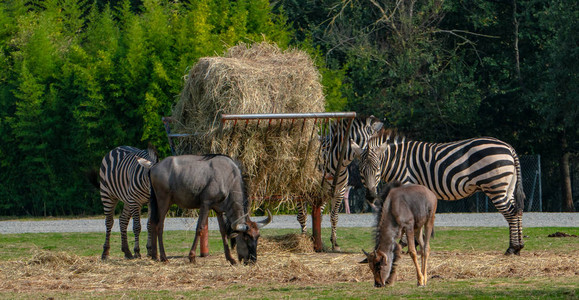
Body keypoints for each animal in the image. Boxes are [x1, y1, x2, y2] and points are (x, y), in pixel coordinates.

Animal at [138, 155, 272, 264]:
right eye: (246, 237)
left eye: (257, 236)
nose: (253, 260)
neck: (228, 178)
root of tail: (153, 167)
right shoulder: (206, 204)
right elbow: (200, 228)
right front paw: (192, 257)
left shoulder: (218, 209)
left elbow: (223, 231)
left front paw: (230, 258)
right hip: (164, 201)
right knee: (159, 226)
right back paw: (164, 257)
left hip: (156, 202)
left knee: (153, 223)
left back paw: (154, 256)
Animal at [296, 116, 382, 251]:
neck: (338, 163)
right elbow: (304, 216)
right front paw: (305, 241)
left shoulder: (339, 192)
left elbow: (334, 216)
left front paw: (334, 243)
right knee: (301, 215)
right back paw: (304, 237)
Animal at [352, 130, 528, 254]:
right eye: (361, 170)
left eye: (377, 169)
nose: (371, 196)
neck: (398, 161)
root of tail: (509, 147)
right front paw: (417, 242)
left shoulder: (407, 183)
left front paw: (406, 243)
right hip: (507, 187)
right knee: (517, 211)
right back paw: (519, 246)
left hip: (495, 185)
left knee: (511, 213)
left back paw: (512, 248)